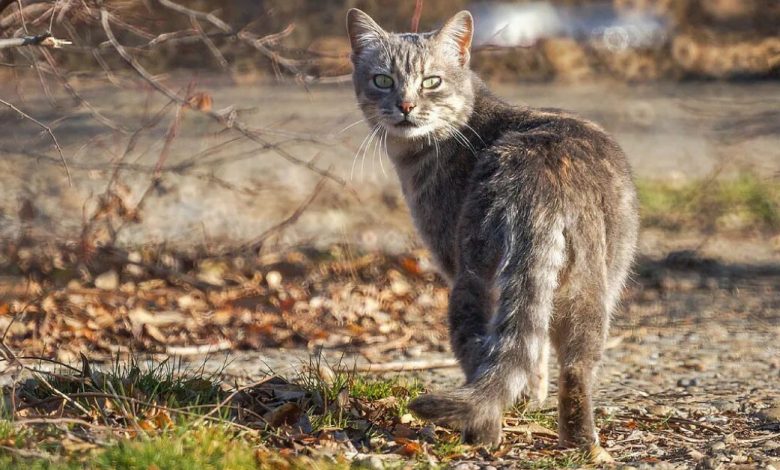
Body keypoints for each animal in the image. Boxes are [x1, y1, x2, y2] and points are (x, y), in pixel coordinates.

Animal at [344, 8, 636, 452]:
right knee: (574, 365)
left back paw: (481, 433)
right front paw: (531, 395)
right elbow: (535, 351)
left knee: (479, 354)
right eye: (383, 80)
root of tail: (540, 174)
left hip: (472, 278)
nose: (406, 105)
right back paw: (583, 444)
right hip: (591, 286)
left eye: (431, 81)